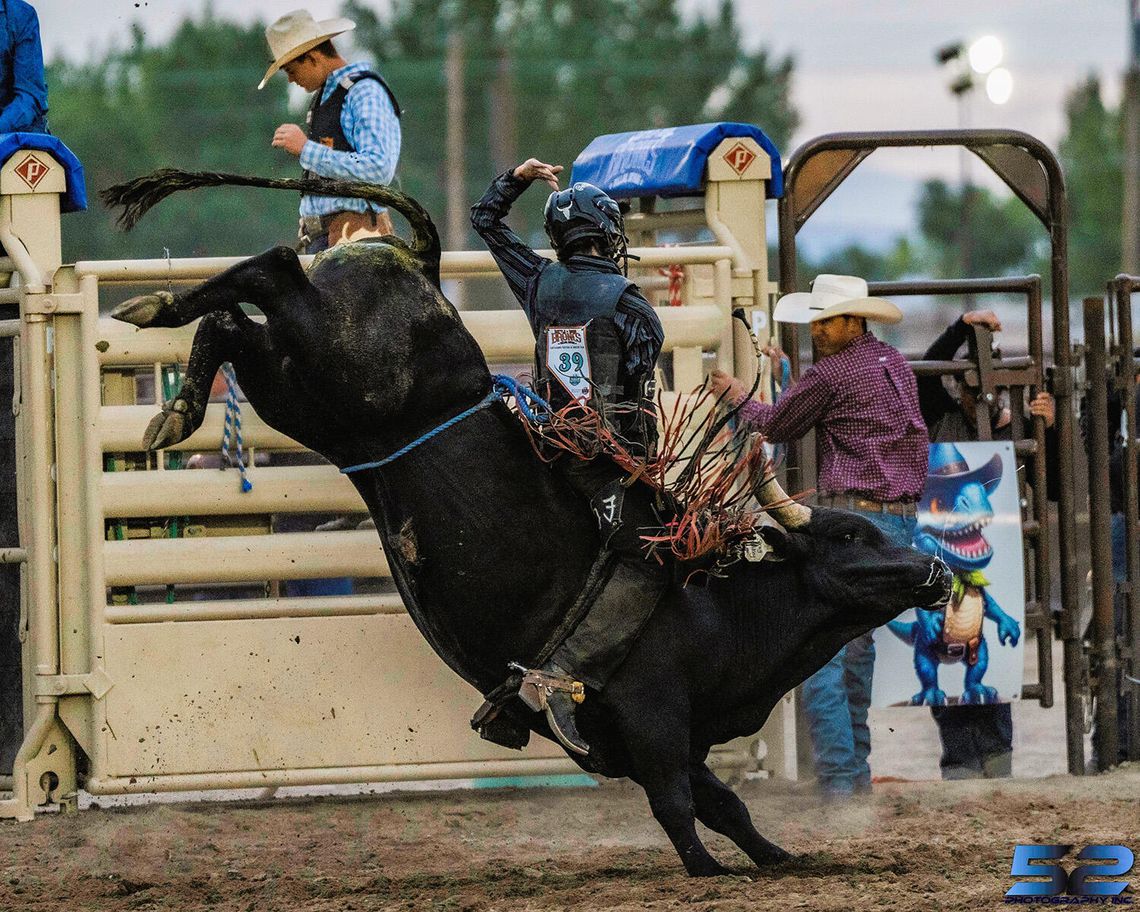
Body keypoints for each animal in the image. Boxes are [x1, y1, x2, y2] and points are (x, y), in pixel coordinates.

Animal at [104, 171, 953, 875]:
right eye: (850, 536)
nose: (934, 571)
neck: (714, 604)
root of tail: (417, 264)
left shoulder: (666, 738)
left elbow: (726, 803)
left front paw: (778, 857)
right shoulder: (652, 717)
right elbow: (678, 805)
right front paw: (709, 871)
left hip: (302, 392)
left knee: (238, 323)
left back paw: (172, 383)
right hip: (338, 373)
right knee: (274, 267)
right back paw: (158, 317)